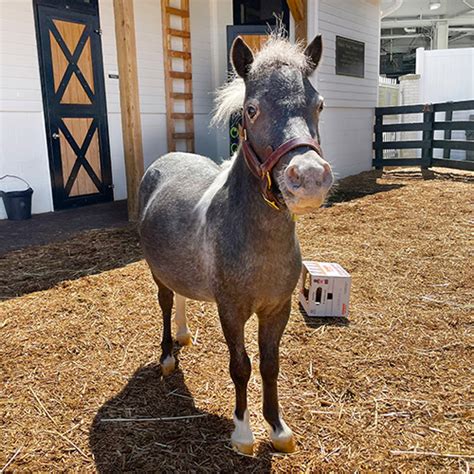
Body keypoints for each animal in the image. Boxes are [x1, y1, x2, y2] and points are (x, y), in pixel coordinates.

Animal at [139, 34, 334, 456]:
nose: (309, 178)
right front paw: (243, 433)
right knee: (166, 305)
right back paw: (167, 355)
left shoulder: (276, 310)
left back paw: (183, 335)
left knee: (181, 296)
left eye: (319, 105)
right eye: (251, 109)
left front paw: (278, 429)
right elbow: (241, 366)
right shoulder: (230, 310)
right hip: (158, 275)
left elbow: (269, 364)